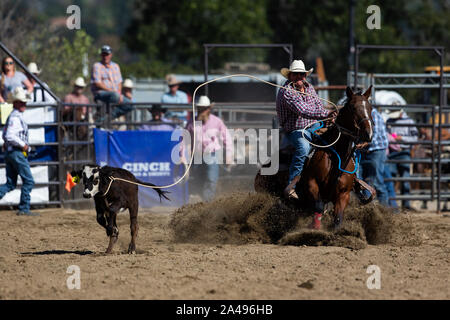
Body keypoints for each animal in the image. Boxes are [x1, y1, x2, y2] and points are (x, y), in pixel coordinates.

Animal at [255, 86, 374, 229]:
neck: (335, 157)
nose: (368, 134)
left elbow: (337, 219)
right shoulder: (311, 184)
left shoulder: (343, 194)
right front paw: (315, 228)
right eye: (353, 107)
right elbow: (319, 207)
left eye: (370, 107)